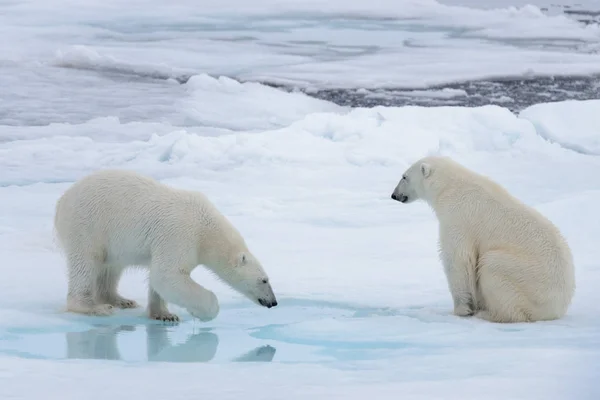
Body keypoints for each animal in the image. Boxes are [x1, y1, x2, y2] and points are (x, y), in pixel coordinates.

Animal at [52, 169, 278, 322]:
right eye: (264, 280)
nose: (273, 302)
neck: (206, 229)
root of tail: (61, 201)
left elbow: (159, 276)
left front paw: (164, 315)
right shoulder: (181, 234)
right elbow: (167, 274)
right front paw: (203, 312)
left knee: (112, 267)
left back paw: (121, 300)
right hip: (88, 225)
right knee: (86, 263)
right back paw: (94, 307)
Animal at [392, 155, 576, 324]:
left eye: (404, 177)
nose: (394, 195)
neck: (450, 186)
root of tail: (557, 308)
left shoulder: (458, 216)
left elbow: (458, 259)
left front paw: (461, 309)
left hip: (528, 278)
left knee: (492, 265)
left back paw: (489, 314)